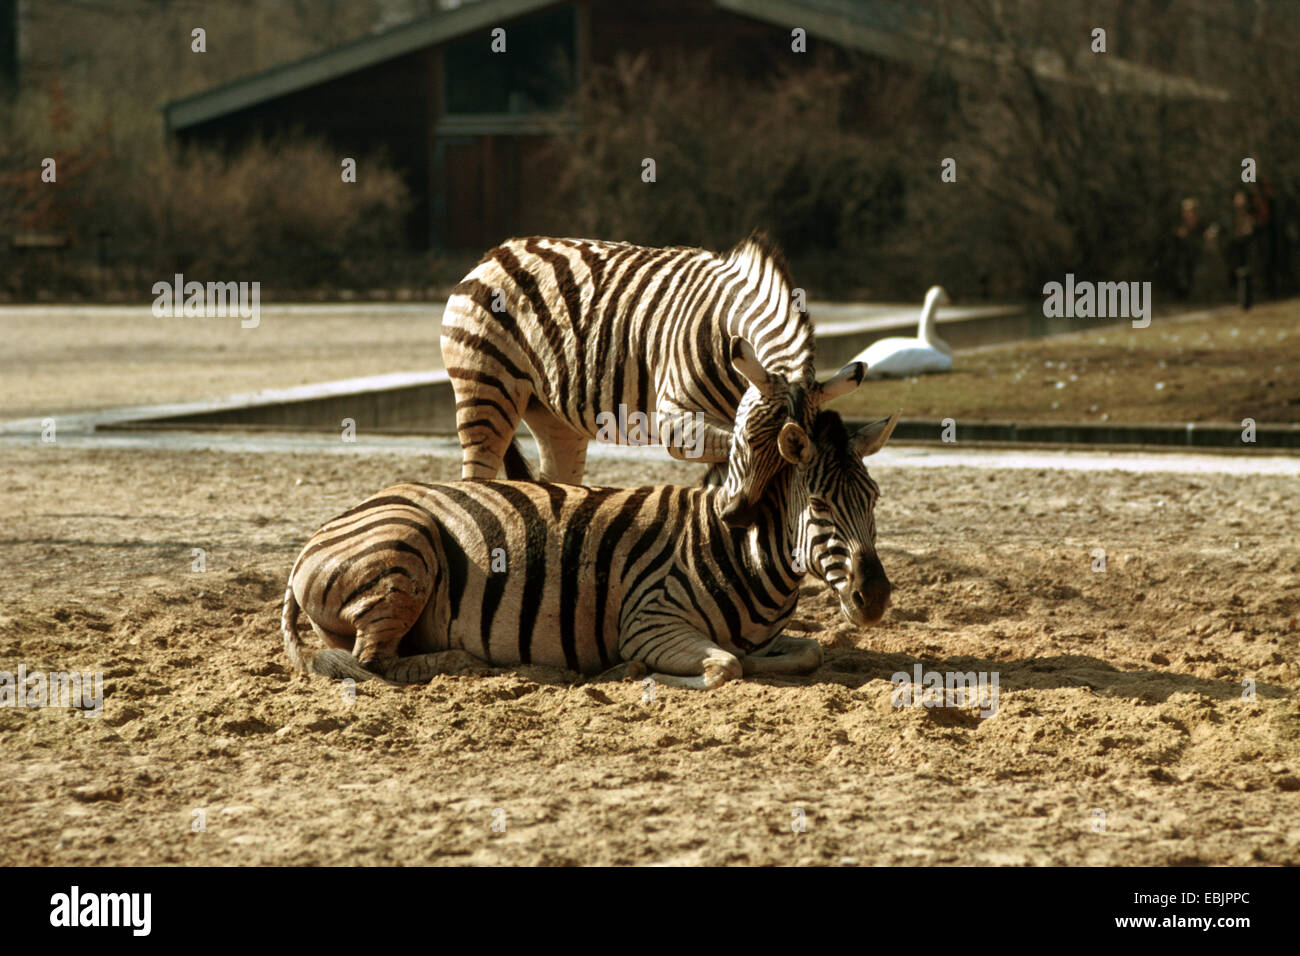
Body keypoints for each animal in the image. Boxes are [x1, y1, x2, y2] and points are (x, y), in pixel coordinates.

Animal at [282, 339, 898, 690]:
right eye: (819, 505)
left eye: (872, 500)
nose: (874, 598)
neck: (745, 552)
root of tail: (323, 532)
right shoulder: (649, 620)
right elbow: (726, 668)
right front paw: (632, 672)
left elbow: (805, 652)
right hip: (406, 547)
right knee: (372, 662)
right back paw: (459, 663)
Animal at [440, 232, 817, 525]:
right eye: (748, 445)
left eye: (788, 474)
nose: (740, 518)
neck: (723, 327)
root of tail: (497, 253)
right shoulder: (676, 420)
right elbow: (726, 451)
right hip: (484, 388)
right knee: (476, 475)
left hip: (550, 413)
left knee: (554, 481)